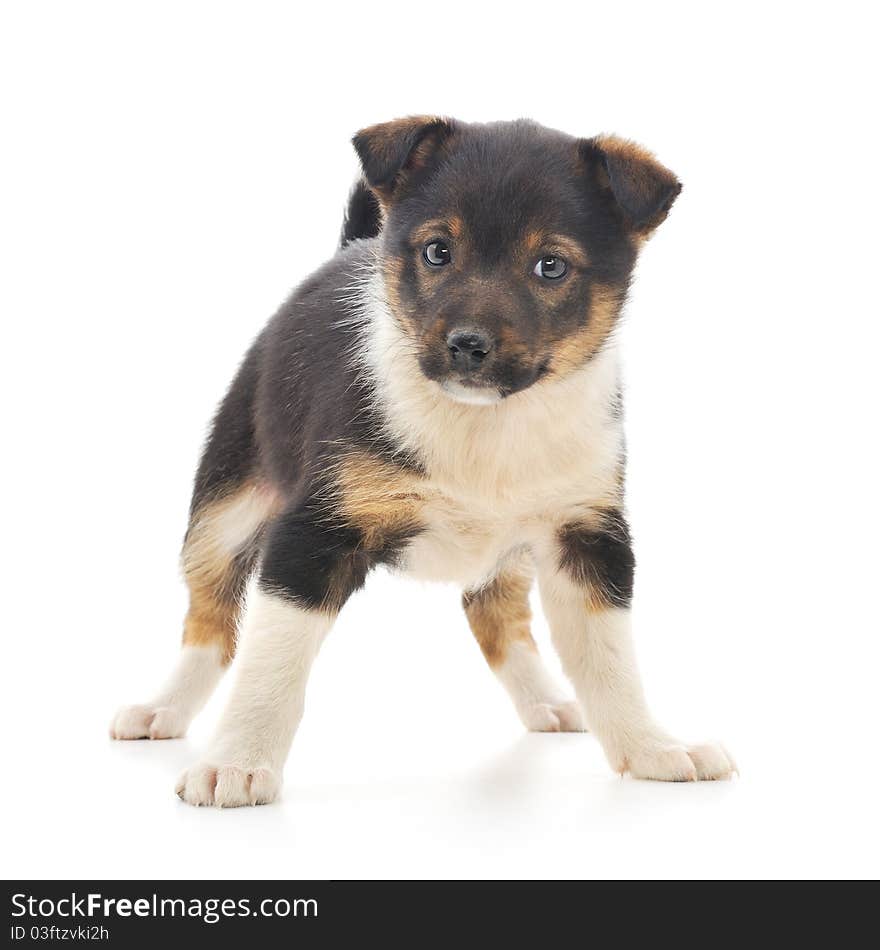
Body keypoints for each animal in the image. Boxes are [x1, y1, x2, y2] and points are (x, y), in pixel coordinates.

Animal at [111, 115, 736, 808]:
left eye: (551, 266)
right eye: (438, 251)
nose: (468, 346)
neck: (484, 424)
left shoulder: (587, 533)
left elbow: (611, 663)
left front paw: (653, 750)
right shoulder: (313, 533)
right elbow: (272, 662)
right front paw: (238, 762)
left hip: (509, 549)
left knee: (494, 613)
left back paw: (544, 701)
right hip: (224, 509)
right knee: (210, 621)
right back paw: (161, 711)